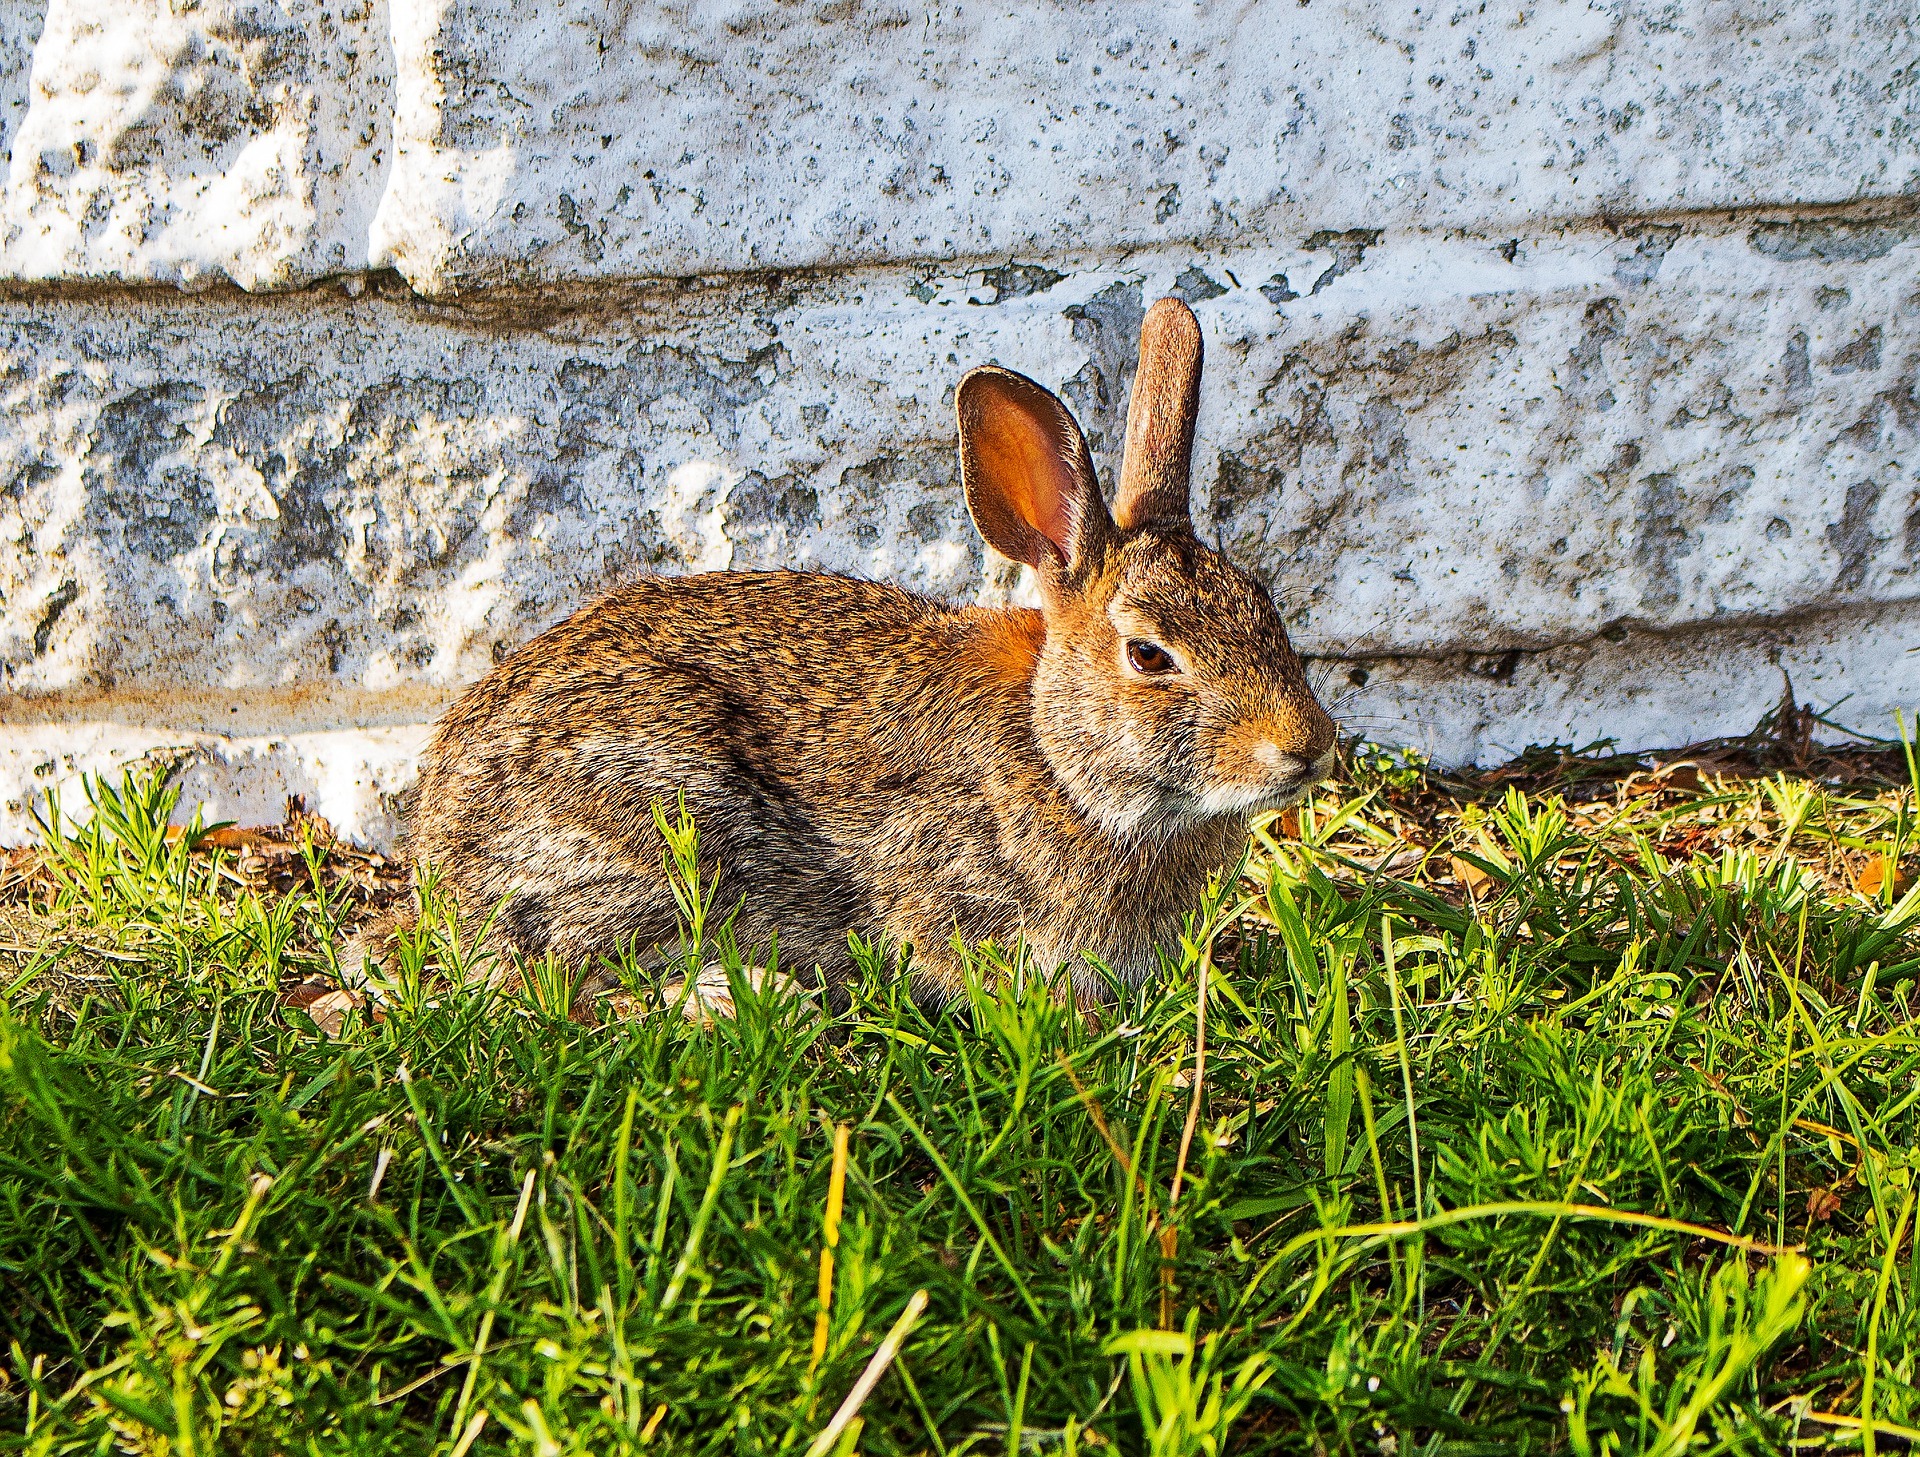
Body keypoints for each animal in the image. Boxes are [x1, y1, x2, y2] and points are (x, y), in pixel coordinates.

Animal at [366, 299, 1344, 1013]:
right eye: (1148, 655)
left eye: (1266, 604)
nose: (1309, 745)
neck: (1059, 760)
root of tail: (439, 856)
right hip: (650, 819)